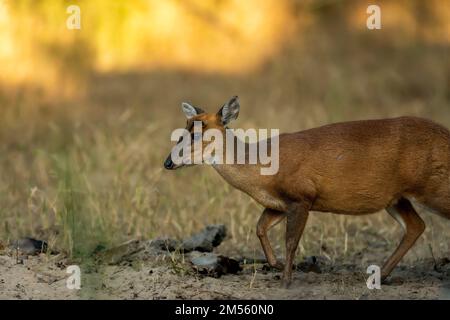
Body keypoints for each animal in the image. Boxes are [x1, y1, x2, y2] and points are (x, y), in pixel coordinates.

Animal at [164, 95, 450, 288]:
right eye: (182, 132)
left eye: (198, 134)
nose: (167, 162)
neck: (261, 168)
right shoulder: (280, 203)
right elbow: (260, 228)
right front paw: (279, 266)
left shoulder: (302, 196)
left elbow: (291, 241)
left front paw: (286, 280)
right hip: (396, 198)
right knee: (416, 226)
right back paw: (378, 275)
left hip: (434, 186)